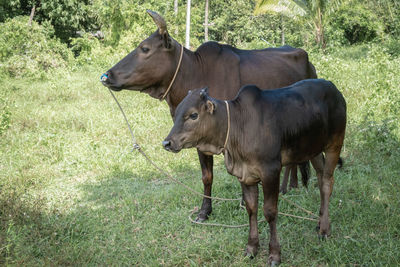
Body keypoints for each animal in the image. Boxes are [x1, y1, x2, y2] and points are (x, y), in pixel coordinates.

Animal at [101, 10, 318, 223]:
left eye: (145, 48)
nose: (107, 75)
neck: (196, 72)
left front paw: (241, 202)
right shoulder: (198, 140)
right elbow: (207, 176)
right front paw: (204, 211)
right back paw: (291, 185)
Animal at [162, 80, 346, 266]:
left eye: (193, 115)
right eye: (177, 113)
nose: (167, 143)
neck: (237, 127)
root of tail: (333, 87)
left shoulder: (271, 171)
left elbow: (270, 212)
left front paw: (274, 254)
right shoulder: (245, 175)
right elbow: (251, 209)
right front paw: (251, 248)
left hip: (334, 144)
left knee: (327, 183)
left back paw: (324, 229)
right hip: (313, 150)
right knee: (321, 177)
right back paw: (320, 222)